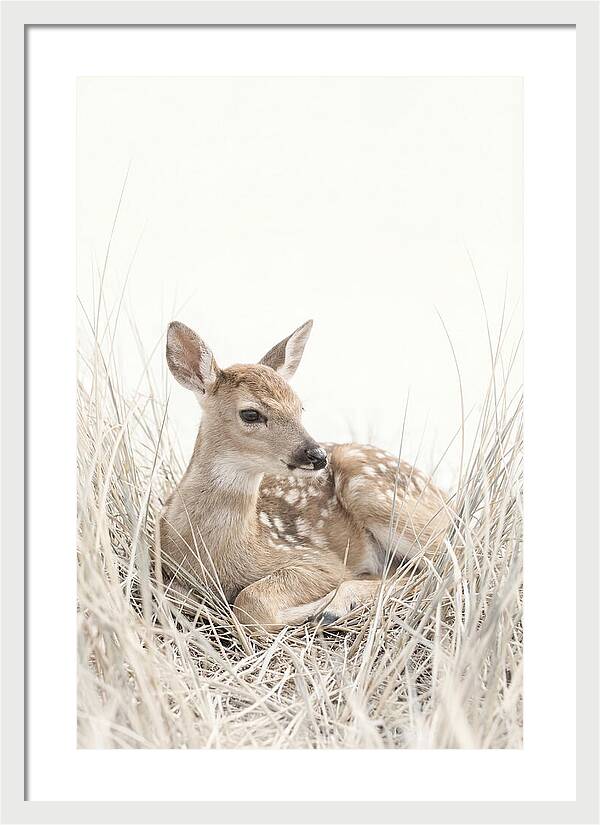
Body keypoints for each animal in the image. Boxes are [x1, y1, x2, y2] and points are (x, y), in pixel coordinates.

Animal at [159, 319, 450, 633]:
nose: (317, 455)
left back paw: (334, 607)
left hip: (373, 492)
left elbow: (251, 603)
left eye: (300, 407)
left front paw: (312, 610)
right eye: (250, 414)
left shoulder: (318, 560)